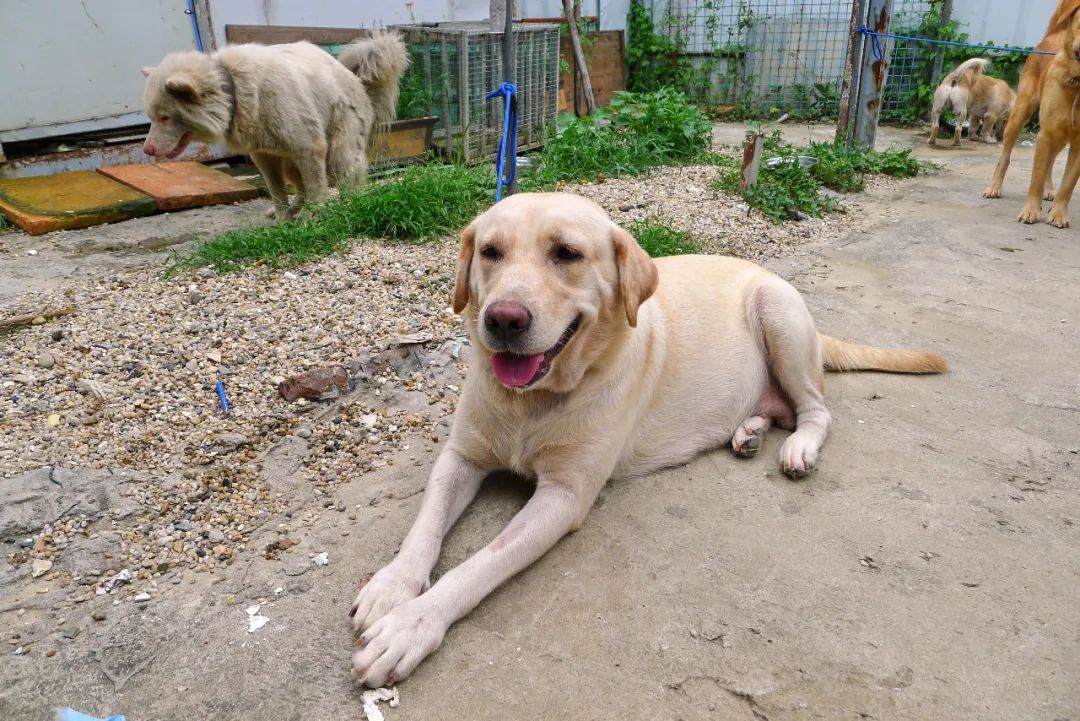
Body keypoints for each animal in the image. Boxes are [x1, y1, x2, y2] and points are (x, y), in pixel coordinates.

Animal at [347, 191, 946, 686]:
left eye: (567, 253)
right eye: (490, 251)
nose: (503, 319)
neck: (532, 402)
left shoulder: (563, 498)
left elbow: (476, 567)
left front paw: (411, 626)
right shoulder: (460, 457)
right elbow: (424, 527)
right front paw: (391, 586)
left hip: (778, 314)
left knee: (816, 411)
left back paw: (798, 446)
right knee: (779, 410)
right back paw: (749, 429)